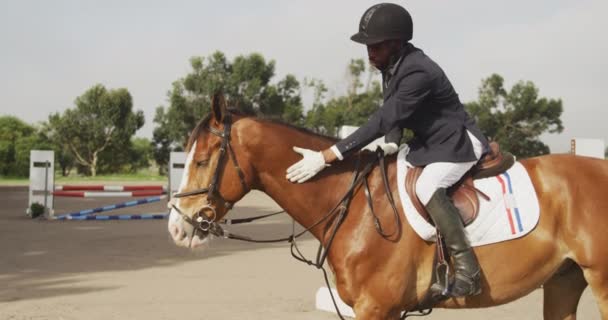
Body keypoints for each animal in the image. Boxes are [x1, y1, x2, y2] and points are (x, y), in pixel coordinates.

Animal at [166, 95, 608, 320]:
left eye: (202, 160)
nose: (177, 227)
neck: (353, 204)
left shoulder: (375, 308)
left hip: (600, 280)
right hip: (564, 281)